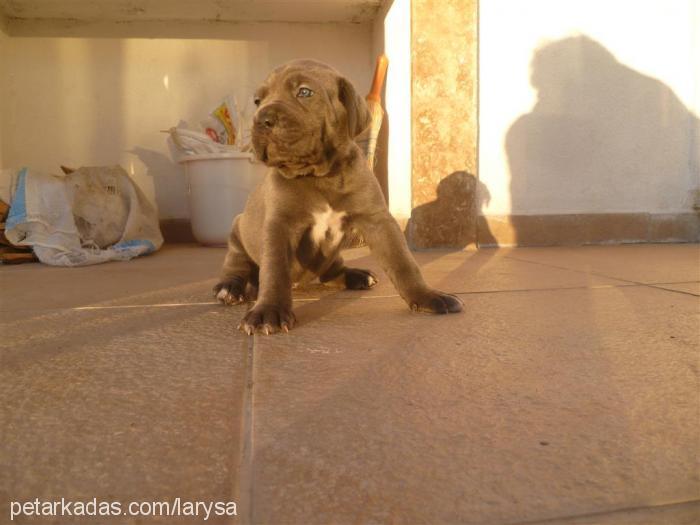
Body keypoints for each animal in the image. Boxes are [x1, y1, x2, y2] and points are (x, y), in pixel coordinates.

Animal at [216, 60, 462, 332]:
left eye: (304, 92)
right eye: (258, 101)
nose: (261, 119)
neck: (320, 175)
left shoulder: (377, 220)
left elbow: (403, 262)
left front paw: (427, 296)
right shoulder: (278, 225)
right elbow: (274, 269)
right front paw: (269, 311)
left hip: (329, 256)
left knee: (331, 273)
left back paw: (357, 276)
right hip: (237, 231)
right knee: (237, 266)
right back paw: (230, 288)